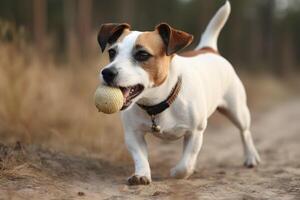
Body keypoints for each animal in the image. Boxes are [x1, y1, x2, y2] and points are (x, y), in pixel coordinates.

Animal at [96, 1, 260, 186]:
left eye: (142, 54)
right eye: (112, 52)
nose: (107, 72)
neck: (158, 103)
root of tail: (209, 49)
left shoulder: (195, 132)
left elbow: (185, 164)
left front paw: (178, 172)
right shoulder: (133, 134)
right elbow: (140, 157)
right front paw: (141, 174)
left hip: (237, 110)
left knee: (245, 132)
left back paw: (251, 157)